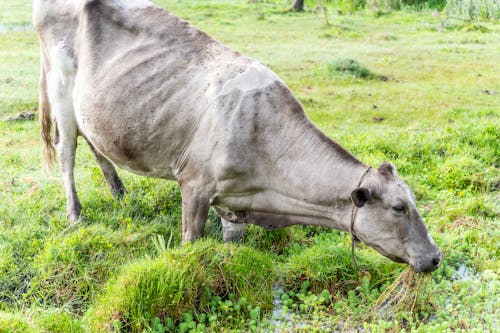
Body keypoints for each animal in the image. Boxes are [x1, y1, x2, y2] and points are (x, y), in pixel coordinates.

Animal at [34, 0, 442, 272]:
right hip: (59, 86)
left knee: (95, 140)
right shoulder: (195, 186)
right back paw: (75, 215)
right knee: (68, 150)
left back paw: (119, 192)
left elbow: (233, 248)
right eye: (399, 208)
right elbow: (190, 243)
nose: (435, 257)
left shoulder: (234, 203)